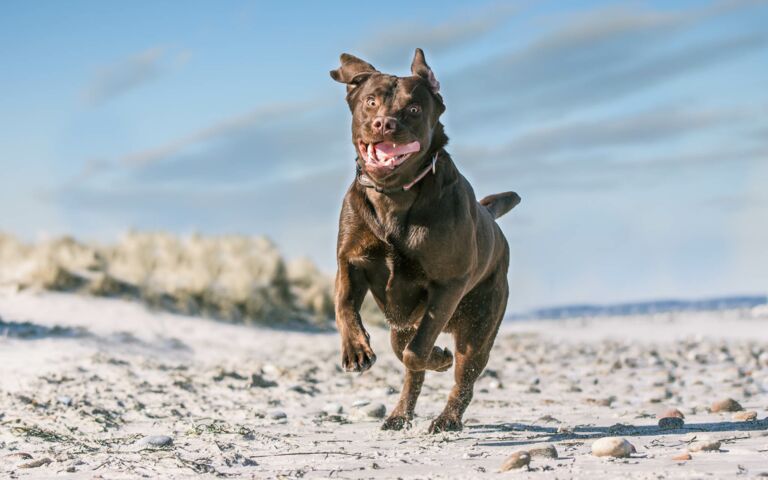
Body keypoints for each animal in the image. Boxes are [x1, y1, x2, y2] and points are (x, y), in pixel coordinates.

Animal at [331, 48, 520, 433]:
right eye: (371, 102)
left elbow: (417, 352)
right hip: (405, 323)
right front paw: (355, 350)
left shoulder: (449, 285)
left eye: (414, 109)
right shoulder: (350, 261)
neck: (394, 195)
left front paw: (437, 358)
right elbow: (343, 305)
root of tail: (489, 216)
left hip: (480, 325)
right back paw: (400, 414)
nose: (384, 124)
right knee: (406, 361)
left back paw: (447, 416)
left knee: (461, 373)